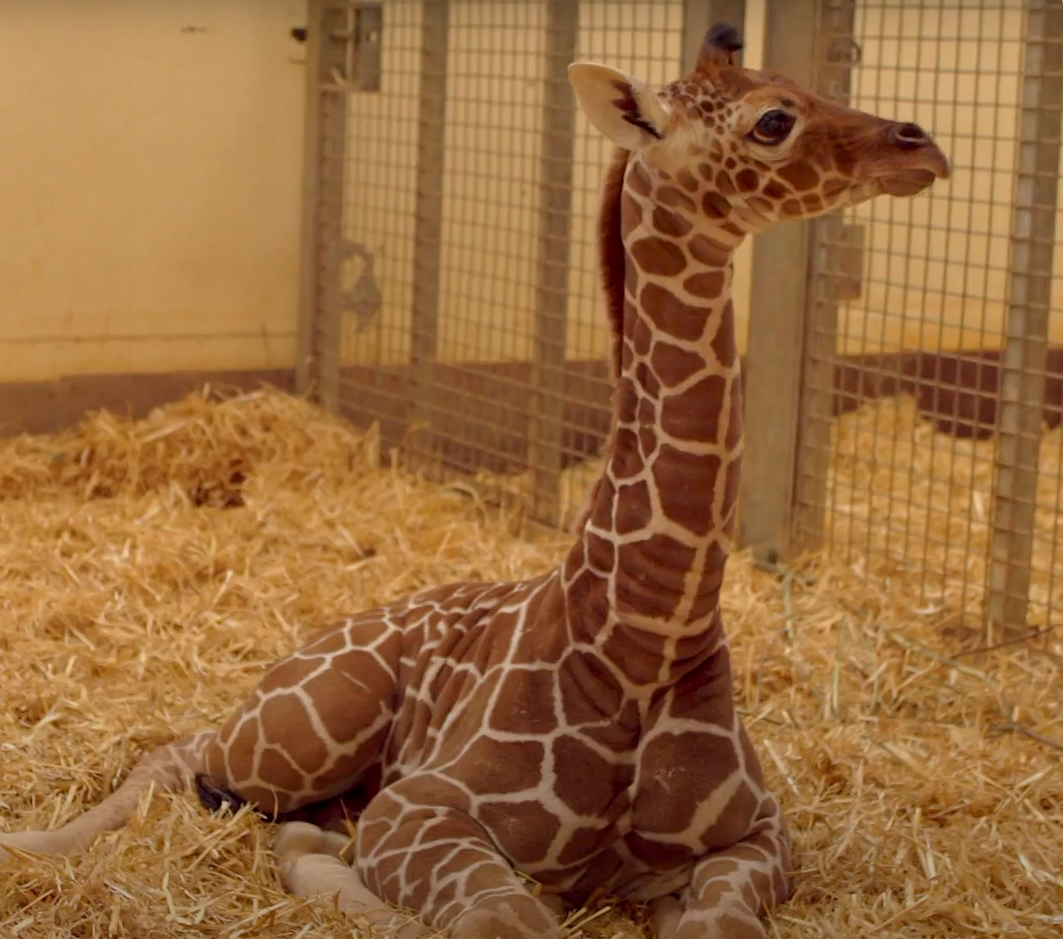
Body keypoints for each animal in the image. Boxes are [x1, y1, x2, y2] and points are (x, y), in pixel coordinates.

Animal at [0, 20, 948, 939]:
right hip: (307, 728)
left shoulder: (758, 829)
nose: (921, 143)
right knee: (185, 753)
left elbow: (711, 924)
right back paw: (37, 842)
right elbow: (506, 915)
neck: (643, 638)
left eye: (804, 85)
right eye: (772, 119)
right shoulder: (420, 808)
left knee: (266, 807)